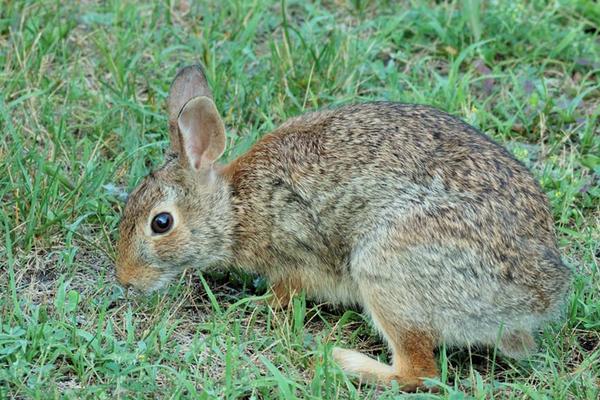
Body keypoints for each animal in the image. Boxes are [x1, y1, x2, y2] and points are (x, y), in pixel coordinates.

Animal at [116, 65, 572, 390]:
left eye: (161, 223)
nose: (125, 280)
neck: (236, 205)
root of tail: (538, 300)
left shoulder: (295, 254)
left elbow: (285, 291)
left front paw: (250, 305)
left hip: (386, 269)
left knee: (419, 372)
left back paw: (338, 359)